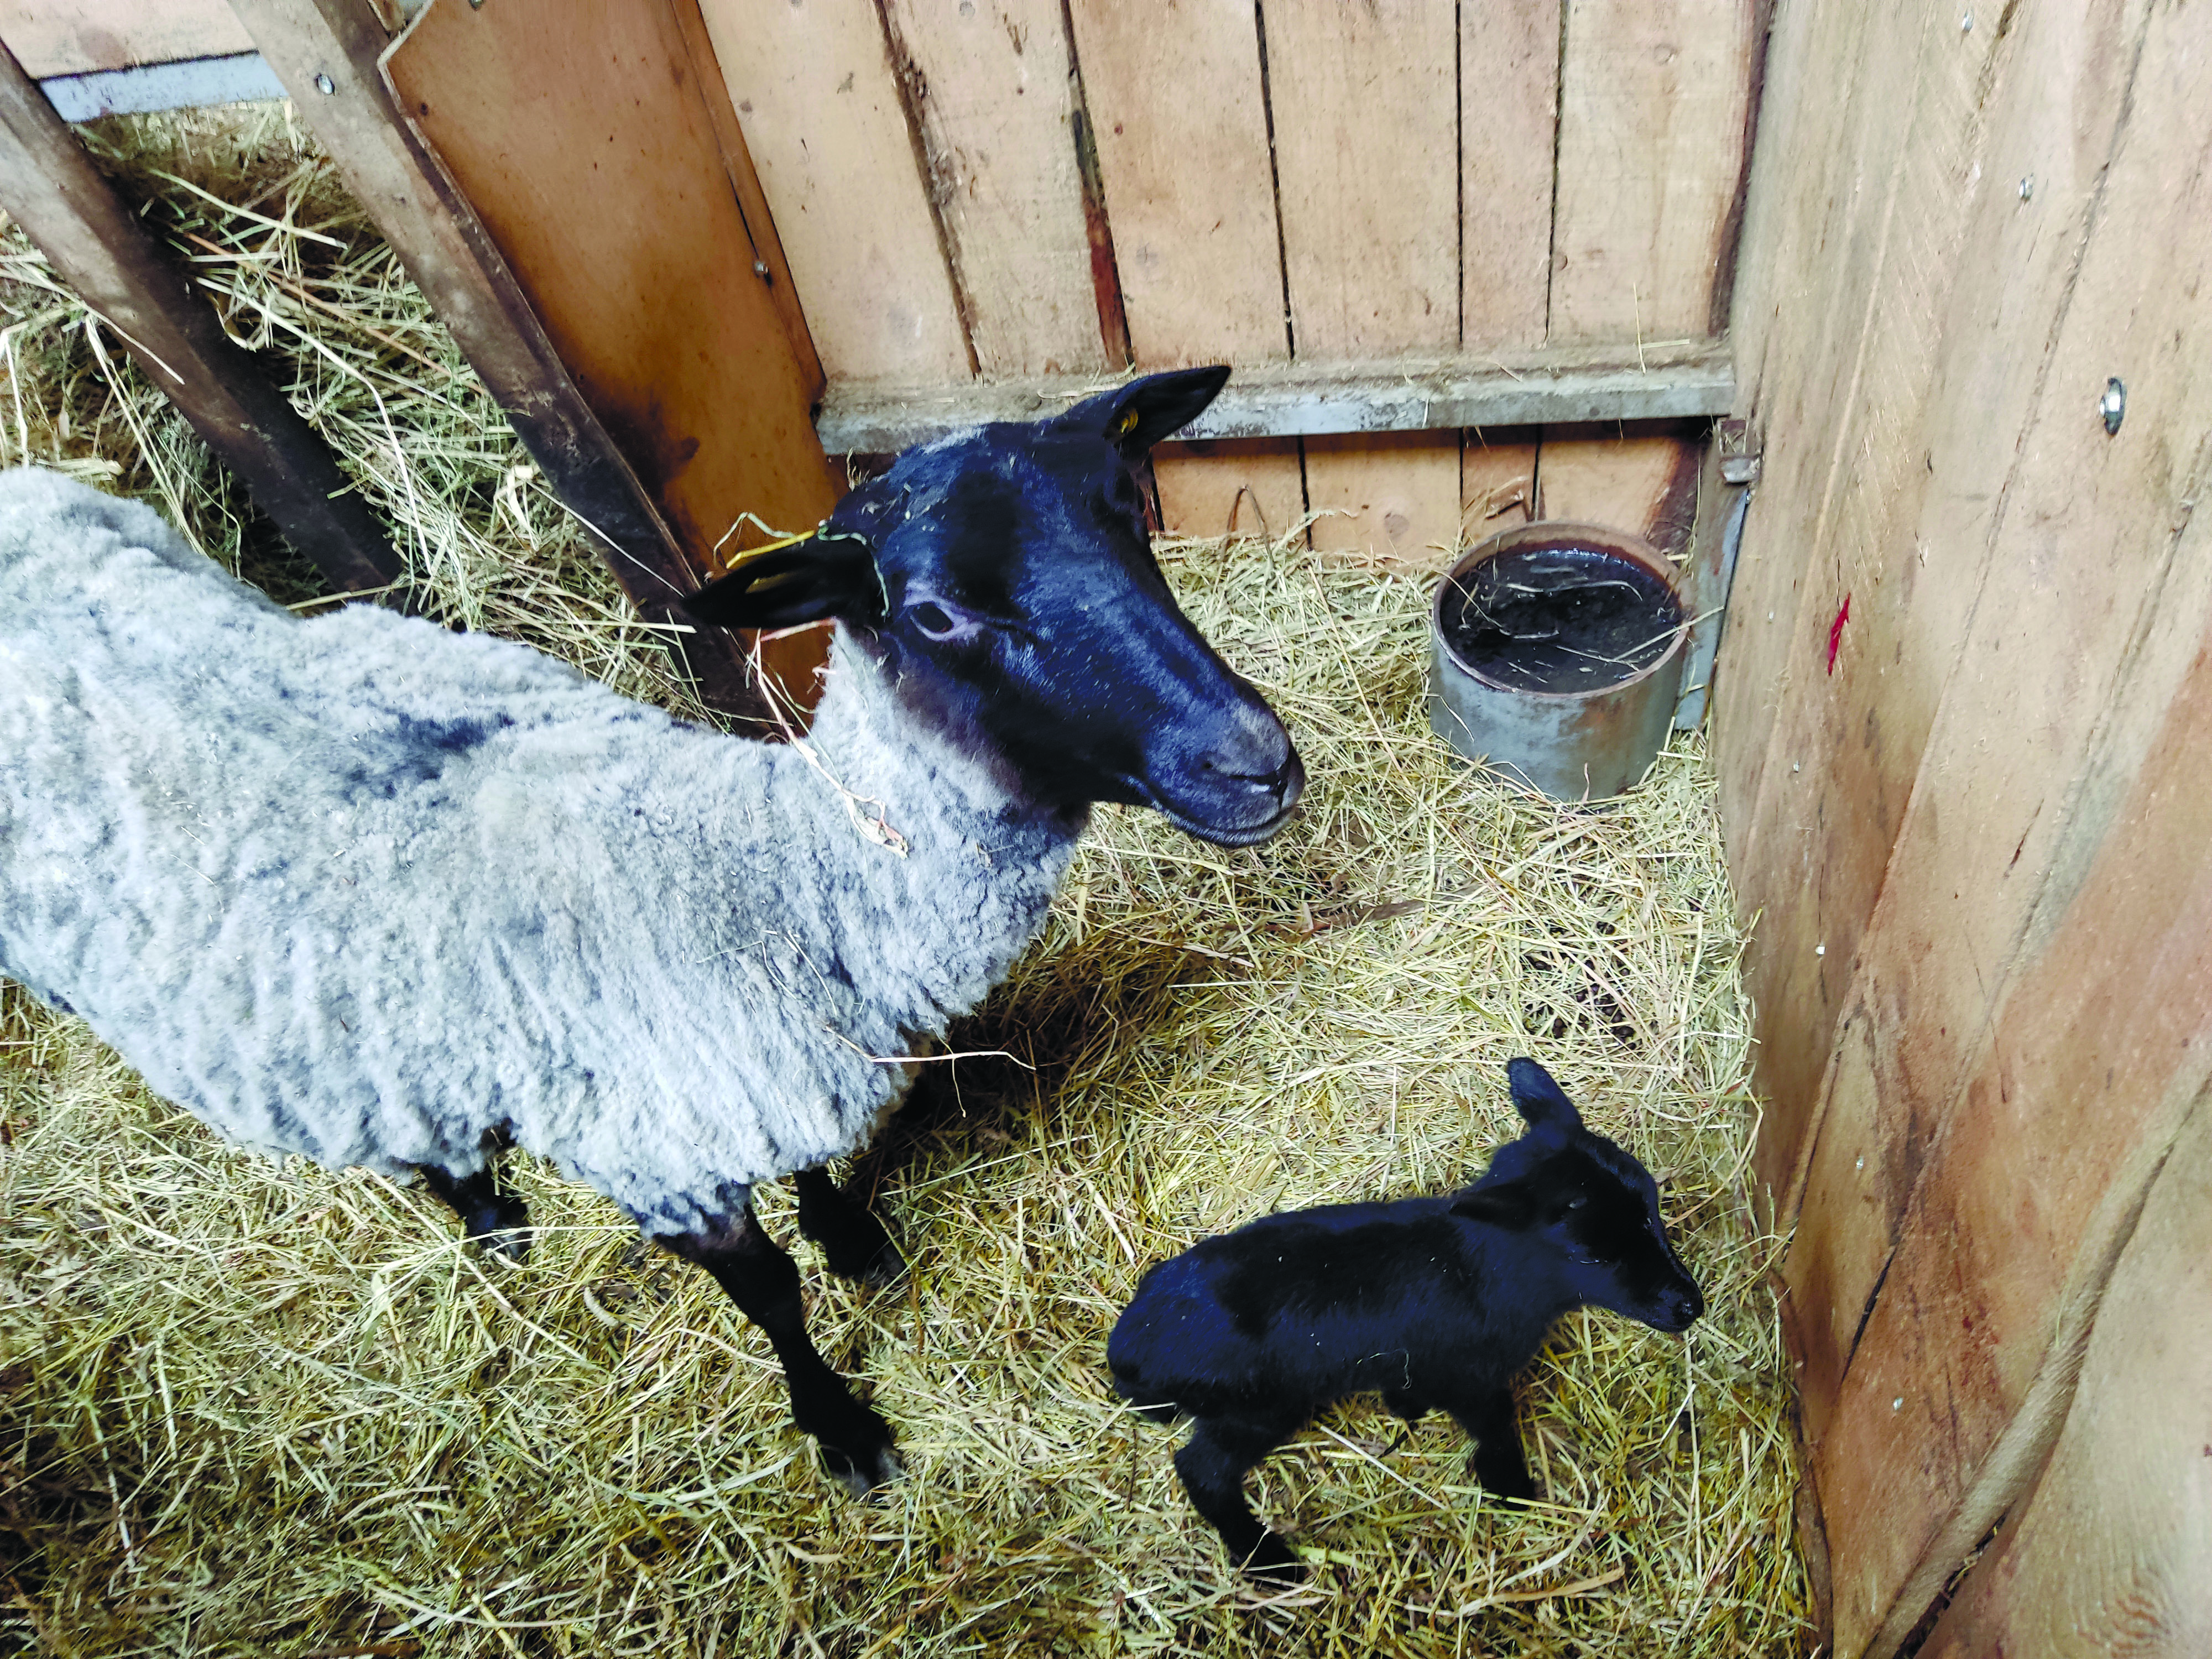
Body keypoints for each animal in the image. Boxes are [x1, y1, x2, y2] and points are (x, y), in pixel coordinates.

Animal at [0, 365, 1304, 1494]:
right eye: (934, 615)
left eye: (1131, 513)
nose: (1255, 764)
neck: (767, 882)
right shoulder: (663, 1154)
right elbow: (772, 1297)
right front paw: (842, 1429)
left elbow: (812, 1168)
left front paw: (851, 1238)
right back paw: (483, 1210)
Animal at [1107, 1057, 1703, 1578]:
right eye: (1589, 1256)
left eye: (1652, 1203)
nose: (1689, 1306)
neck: (1481, 1269)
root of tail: (1129, 1350)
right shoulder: (1471, 1379)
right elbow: (1496, 1429)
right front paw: (1513, 1491)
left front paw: (1407, 1408)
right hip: (1254, 1409)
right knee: (1202, 1472)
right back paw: (1271, 1564)